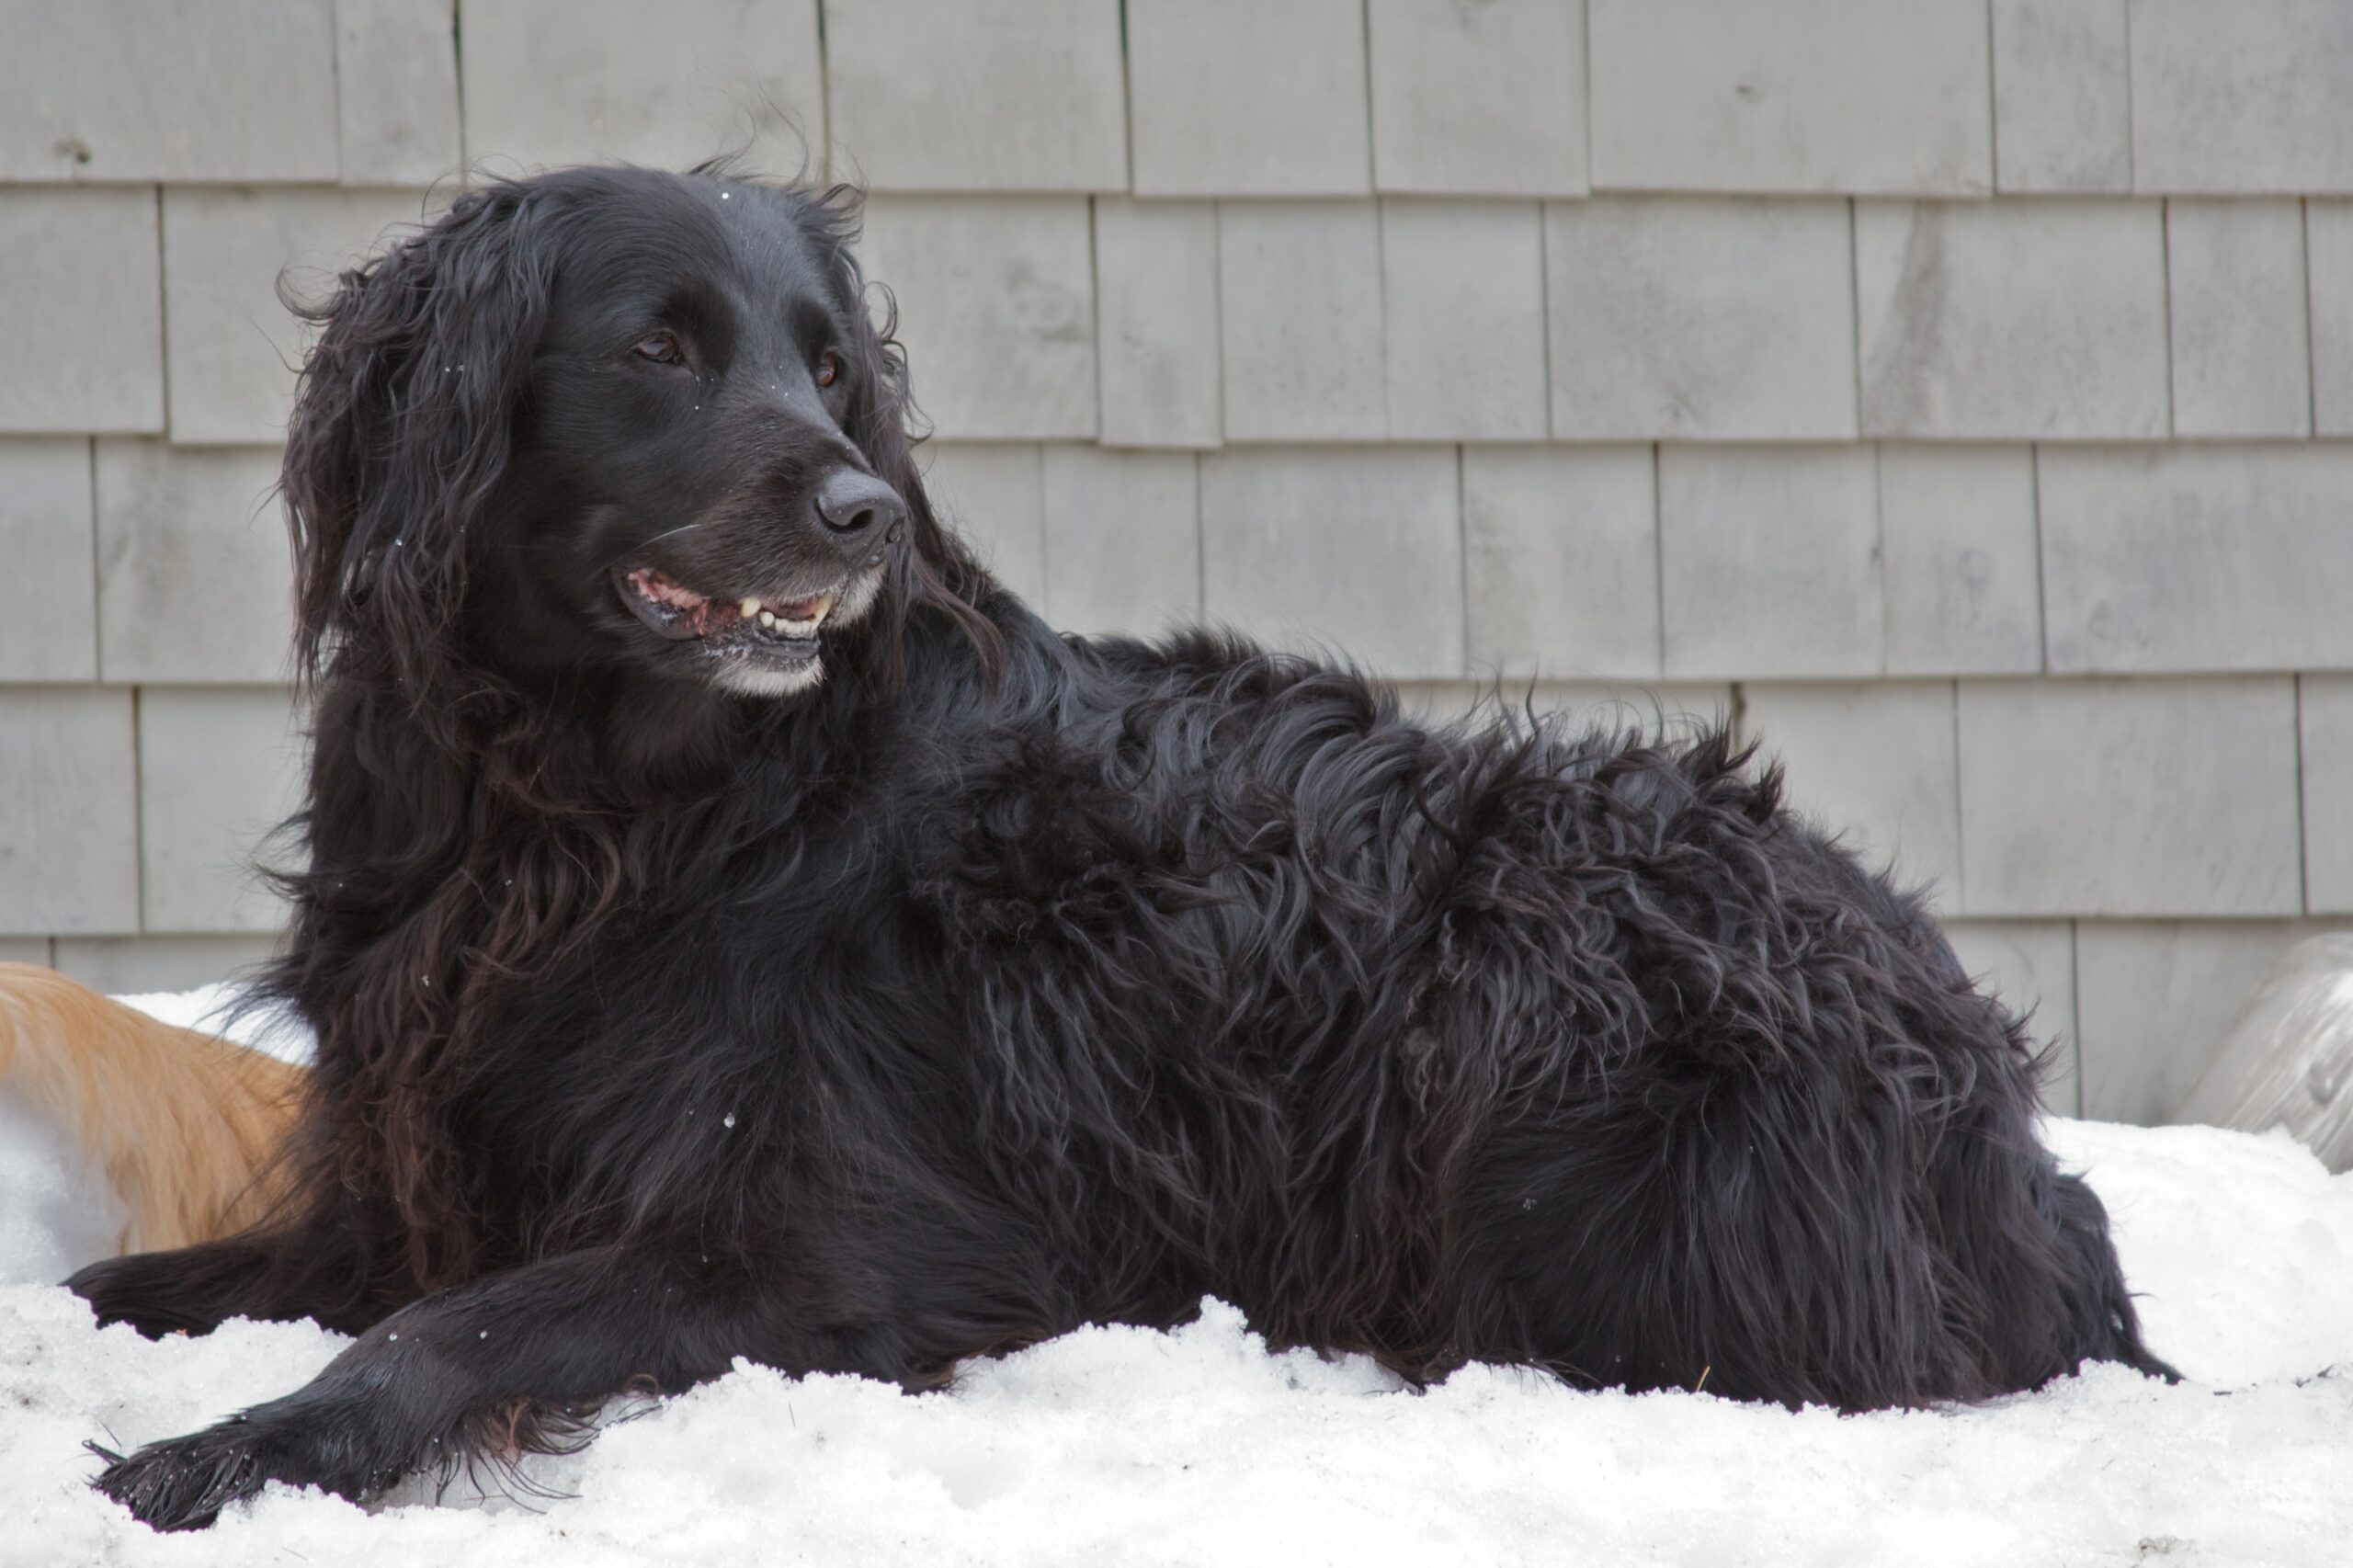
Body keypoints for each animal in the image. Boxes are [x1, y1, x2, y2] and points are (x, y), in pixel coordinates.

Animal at [68, 168, 2165, 1525]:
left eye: (829, 366)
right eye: (659, 347)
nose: (862, 515)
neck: (616, 811)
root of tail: (2003, 1115)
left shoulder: (834, 1250)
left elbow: (451, 1327)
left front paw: (235, 1447)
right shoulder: (410, 1170)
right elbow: (159, 1276)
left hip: (1533, 977)